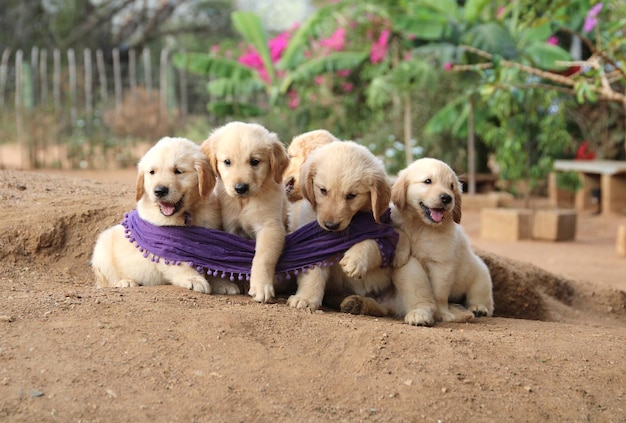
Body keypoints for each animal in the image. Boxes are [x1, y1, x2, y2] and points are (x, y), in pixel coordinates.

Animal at [91, 137, 238, 294]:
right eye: (152, 172)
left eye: (178, 171)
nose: (159, 191)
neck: (187, 213)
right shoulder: (165, 243)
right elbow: (182, 263)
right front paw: (194, 279)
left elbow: (213, 263)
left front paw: (224, 284)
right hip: (103, 250)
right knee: (105, 282)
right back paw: (126, 282)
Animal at [200, 121, 288, 304]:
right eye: (227, 162)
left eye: (255, 161)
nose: (240, 188)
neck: (244, 202)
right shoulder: (231, 227)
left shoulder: (270, 227)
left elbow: (263, 256)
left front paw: (261, 286)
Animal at [390, 158, 492, 322]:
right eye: (428, 181)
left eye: (451, 186)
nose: (447, 198)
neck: (420, 225)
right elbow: (400, 233)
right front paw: (399, 256)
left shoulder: (442, 265)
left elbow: (439, 294)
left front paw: (442, 313)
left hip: (481, 274)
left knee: (482, 297)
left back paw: (479, 308)